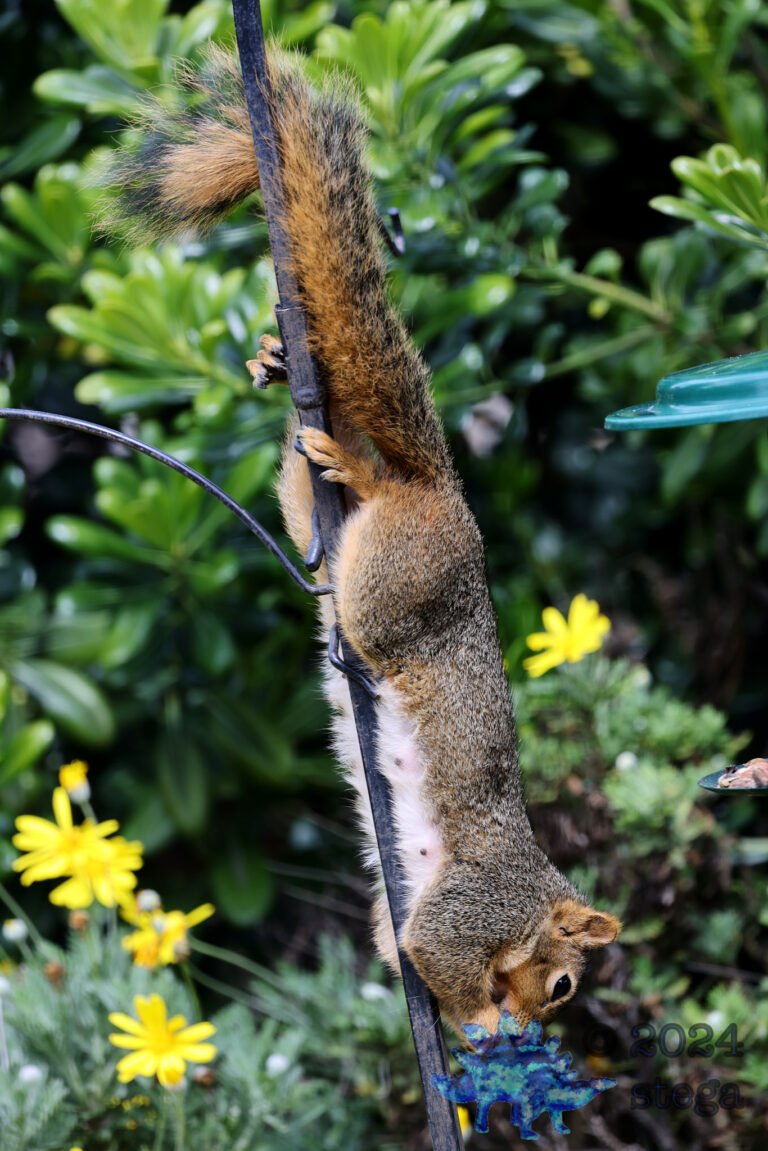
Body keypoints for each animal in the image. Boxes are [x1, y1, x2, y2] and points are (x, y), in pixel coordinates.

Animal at [106, 44, 620, 1034]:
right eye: (566, 985)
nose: (537, 1023)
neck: (531, 896)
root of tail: (439, 491)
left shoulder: (411, 913)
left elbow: (398, 946)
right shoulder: (475, 906)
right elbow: (438, 955)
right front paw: (485, 1026)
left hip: (348, 542)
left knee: (307, 504)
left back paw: (299, 398)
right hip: (400, 583)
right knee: (376, 572)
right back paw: (360, 472)